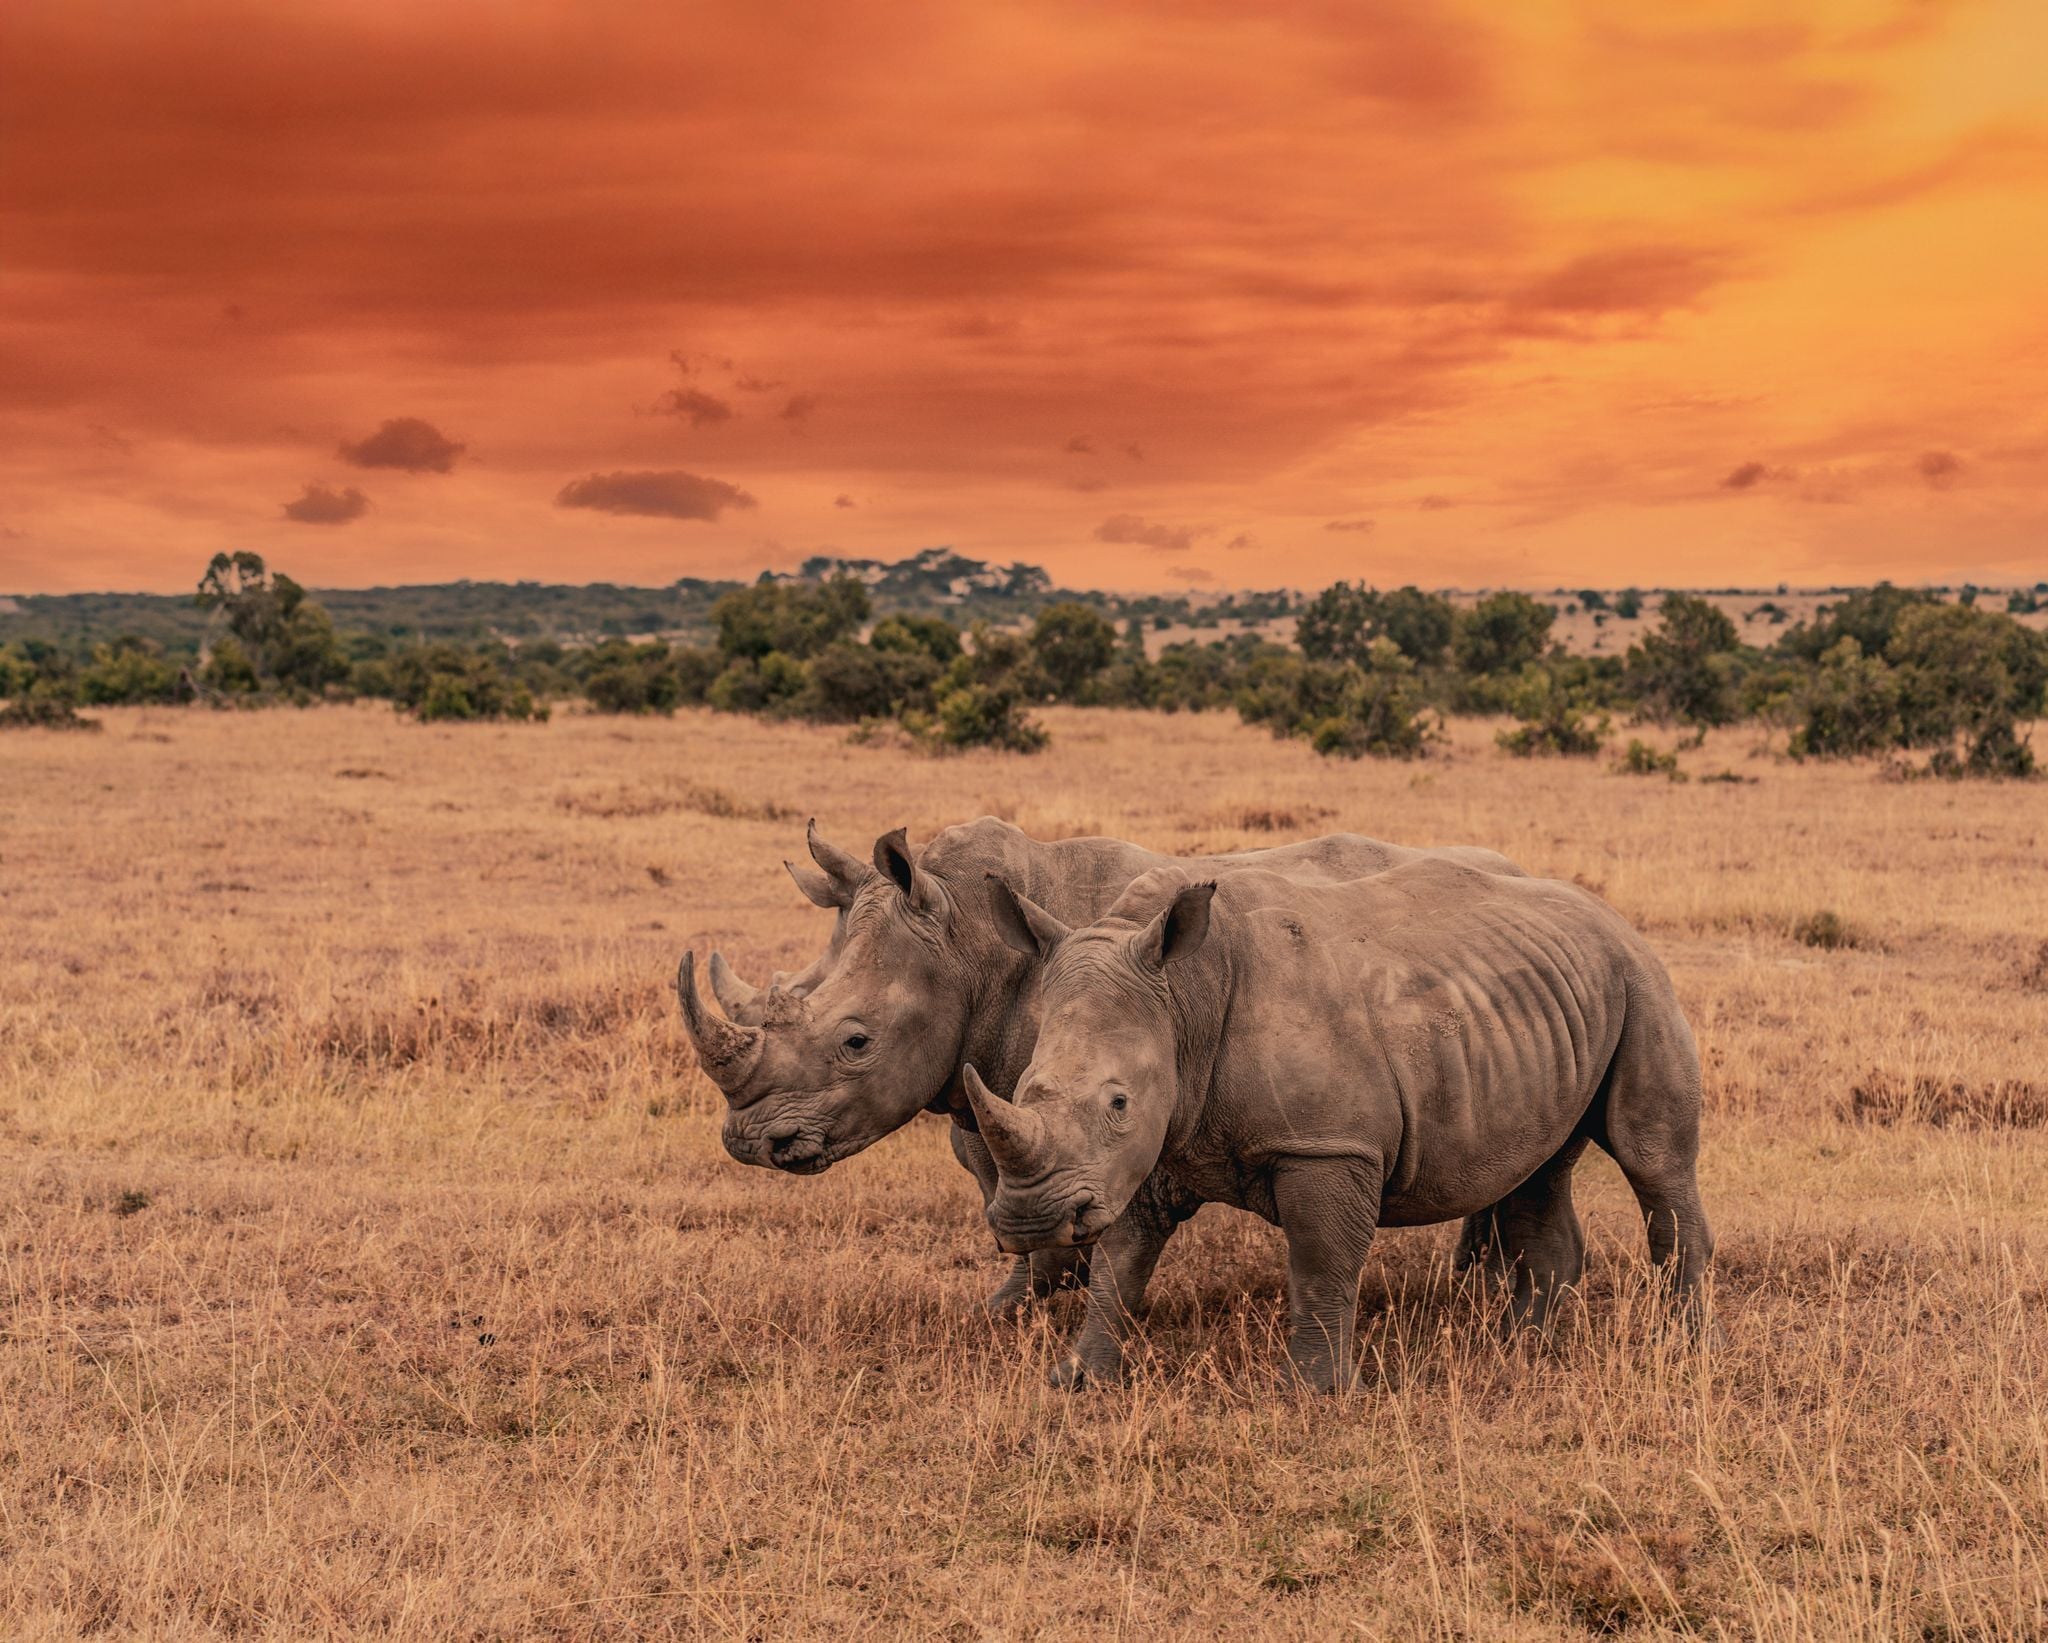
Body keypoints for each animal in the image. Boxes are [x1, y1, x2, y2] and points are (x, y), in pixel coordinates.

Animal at [677, 818, 1532, 1315]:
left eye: (856, 1041)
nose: (749, 1140)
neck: (967, 942)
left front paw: (1066, 1285)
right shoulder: (981, 1080)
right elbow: (991, 1176)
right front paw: (1010, 1304)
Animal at [962, 861, 1712, 1392]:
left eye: (1117, 1102)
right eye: (1023, 1088)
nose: (1028, 1221)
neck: (1182, 999)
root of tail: (1612, 917)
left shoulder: (1326, 1145)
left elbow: (1322, 1260)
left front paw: (1313, 1392)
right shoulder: (1156, 1139)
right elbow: (1121, 1262)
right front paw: (1077, 1379)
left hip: (1640, 979)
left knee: (1652, 1160)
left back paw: (1686, 1348)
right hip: (1549, 1007)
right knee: (1538, 1167)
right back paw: (1520, 1346)